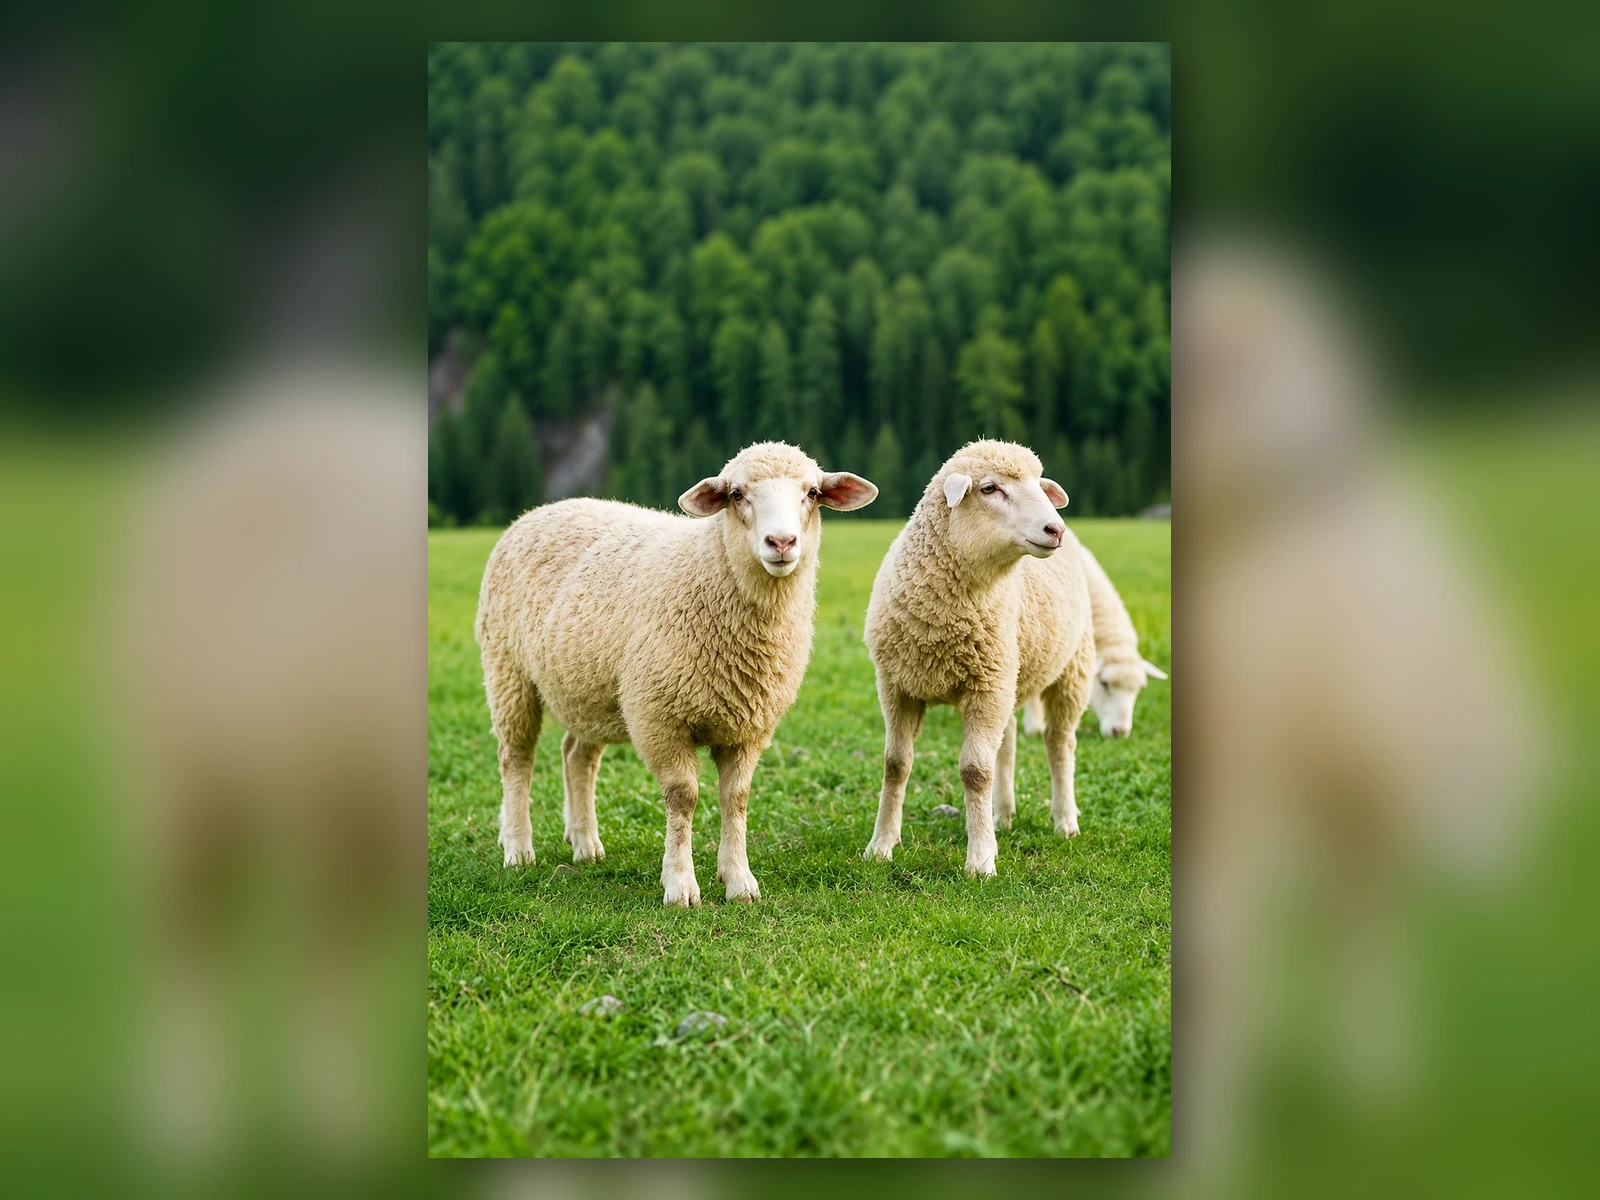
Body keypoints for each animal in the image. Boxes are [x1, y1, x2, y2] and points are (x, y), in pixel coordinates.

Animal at [475, 441, 877, 906]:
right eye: (736, 494)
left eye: (812, 492)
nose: (781, 542)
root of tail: (541, 510)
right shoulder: (659, 718)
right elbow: (683, 798)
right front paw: (681, 885)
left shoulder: (749, 726)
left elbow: (736, 798)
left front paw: (739, 879)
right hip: (507, 670)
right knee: (516, 758)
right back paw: (518, 847)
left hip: (588, 686)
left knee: (577, 756)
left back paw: (585, 843)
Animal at [862, 440, 1095, 877]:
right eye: (989, 488)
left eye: (1039, 484)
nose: (1054, 529)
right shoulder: (896, 686)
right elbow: (896, 764)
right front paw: (881, 846)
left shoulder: (986, 686)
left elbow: (975, 771)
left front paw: (981, 860)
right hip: (1010, 675)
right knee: (1010, 740)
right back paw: (1002, 816)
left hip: (1070, 668)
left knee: (1060, 743)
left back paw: (1064, 820)